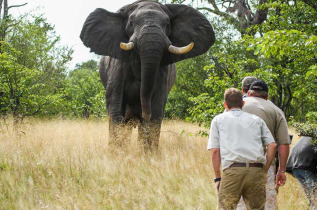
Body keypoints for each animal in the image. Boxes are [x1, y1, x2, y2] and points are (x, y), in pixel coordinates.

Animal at [79, 0, 215, 150]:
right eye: (131, 22)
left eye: (167, 24)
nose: (144, 115)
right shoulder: (117, 68)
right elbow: (116, 109)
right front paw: (117, 153)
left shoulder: (162, 72)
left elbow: (156, 110)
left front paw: (148, 153)